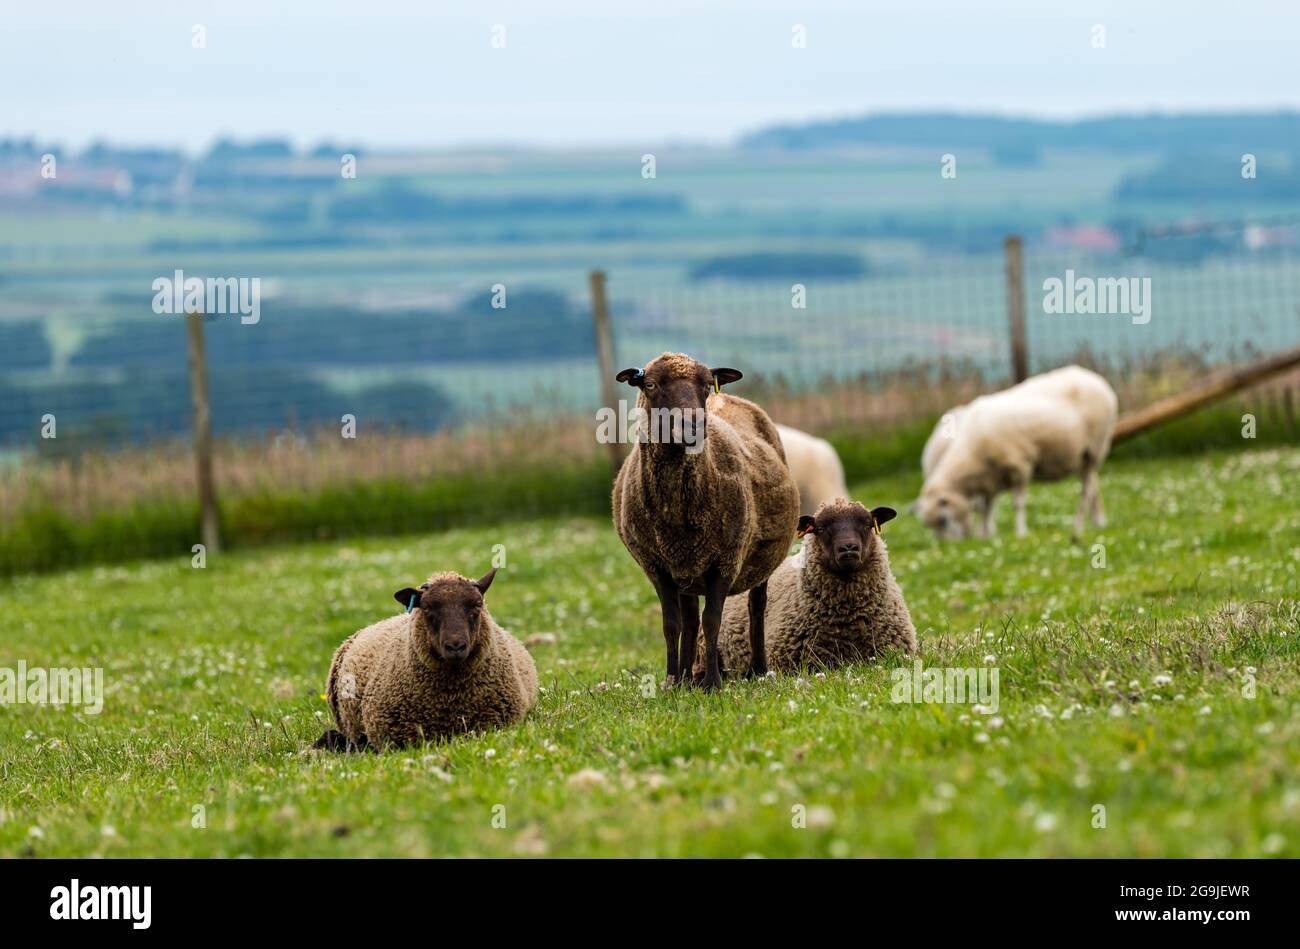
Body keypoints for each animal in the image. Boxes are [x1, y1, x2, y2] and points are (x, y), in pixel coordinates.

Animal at [611, 351, 800, 691]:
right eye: (650, 384)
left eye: (705, 386)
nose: (693, 427)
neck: (675, 509)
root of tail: (731, 398)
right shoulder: (657, 566)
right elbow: (671, 625)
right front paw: (671, 682)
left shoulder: (726, 559)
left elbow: (713, 621)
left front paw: (712, 682)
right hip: (684, 566)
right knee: (689, 619)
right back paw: (685, 678)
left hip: (761, 559)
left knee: (756, 606)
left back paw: (758, 669)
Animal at [915, 364, 1118, 540]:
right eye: (928, 525)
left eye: (943, 520)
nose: (946, 546)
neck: (969, 454)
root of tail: (1094, 378)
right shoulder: (989, 479)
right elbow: (986, 509)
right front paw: (986, 536)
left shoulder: (1019, 466)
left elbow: (1016, 504)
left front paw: (1020, 532)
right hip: (1079, 457)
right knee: (1093, 484)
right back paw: (1098, 521)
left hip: (1094, 448)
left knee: (1086, 490)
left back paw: (1079, 526)